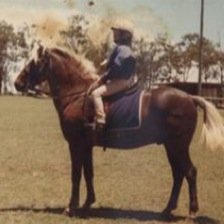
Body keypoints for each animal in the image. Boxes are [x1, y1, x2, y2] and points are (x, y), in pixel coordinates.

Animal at [14, 46, 224, 218]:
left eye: (34, 62)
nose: (17, 83)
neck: (77, 95)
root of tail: (189, 97)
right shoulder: (86, 146)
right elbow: (88, 173)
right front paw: (87, 204)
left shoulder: (76, 145)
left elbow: (76, 175)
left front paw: (71, 208)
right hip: (170, 147)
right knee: (178, 174)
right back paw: (167, 209)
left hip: (177, 146)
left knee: (190, 172)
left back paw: (192, 212)